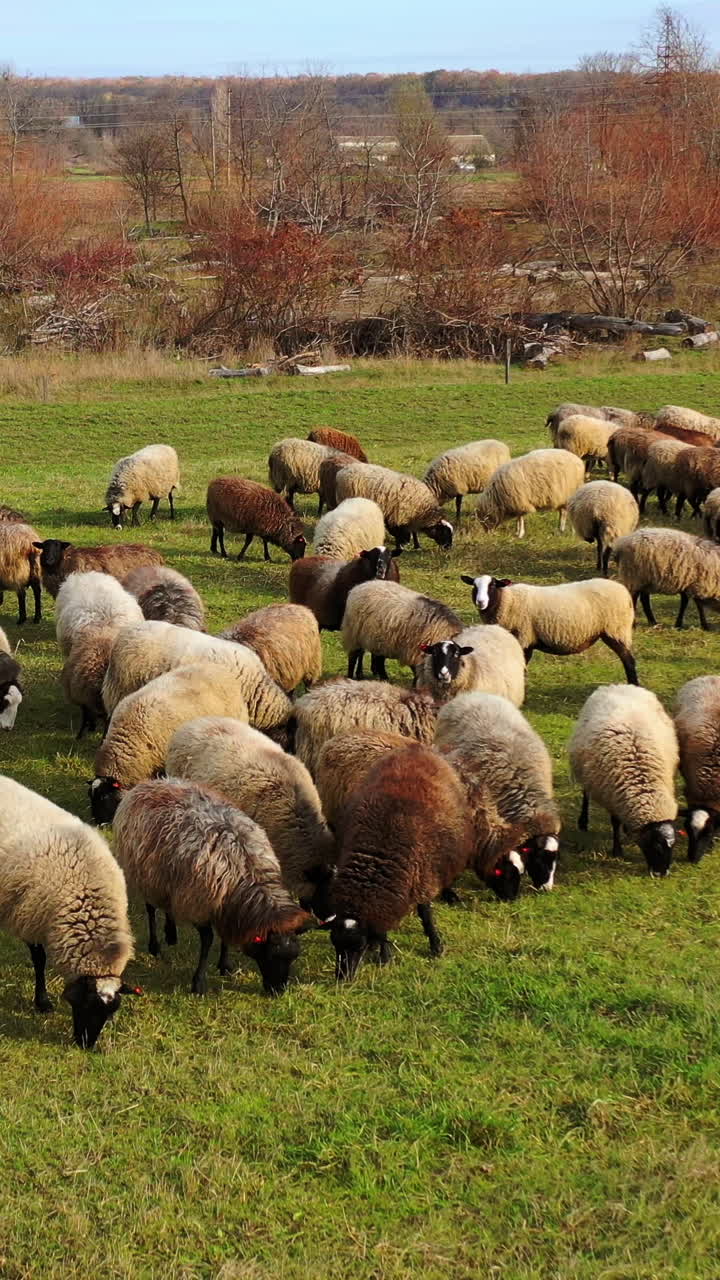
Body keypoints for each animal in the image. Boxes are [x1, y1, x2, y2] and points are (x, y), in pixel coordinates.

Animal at [0, 775, 135, 1047]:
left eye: (109, 1013)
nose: (86, 1046)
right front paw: (42, 1002)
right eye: (88, 1005)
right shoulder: (32, 914)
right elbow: (39, 960)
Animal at [113, 778, 309, 995]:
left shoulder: (226, 906)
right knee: (151, 910)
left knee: (168, 905)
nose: (278, 992)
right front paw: (199, 983)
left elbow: (225, 937)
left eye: (293, 957)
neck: (248, 871)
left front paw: (225, 966)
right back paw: (155, 946)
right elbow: (207, 941)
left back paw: (171, 934)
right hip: (144, 875)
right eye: (270, 956)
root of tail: (151, 782)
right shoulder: (199, 904)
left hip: (166, 878)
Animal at [324, 744, 474, 978]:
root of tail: (414, 748)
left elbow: (426, 914)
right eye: (334, 944)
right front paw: (383, 954)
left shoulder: (422, 874)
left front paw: (436, 946)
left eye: (358, 945)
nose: (343, 978)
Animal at [461, 573, 638, 683]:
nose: (481, 602)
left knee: (629, 661)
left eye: (492, 585)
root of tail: (624, 592)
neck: (508, 600)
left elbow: (522, 668)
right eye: (474, 586)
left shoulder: (524, 638)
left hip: (616, 629)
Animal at [569, 684, 678, 874]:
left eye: (672, 847)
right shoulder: (613, 795)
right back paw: (583, 821)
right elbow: (614, 822)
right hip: (586, 771)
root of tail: (618, 685)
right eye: (656, 846)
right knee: (586, 793)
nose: (661, 873)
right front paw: (617, 850)